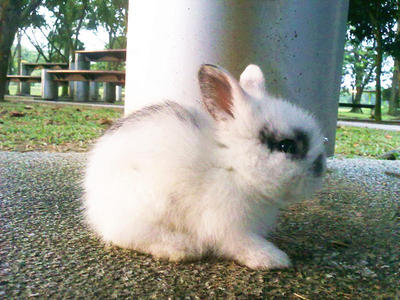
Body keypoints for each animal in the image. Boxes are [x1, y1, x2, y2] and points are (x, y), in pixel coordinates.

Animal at [83, 63, 326, 270]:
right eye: (286, 145)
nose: (320, 168)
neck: (232, 165)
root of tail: (94, 205)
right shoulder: (227, 224)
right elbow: (243, 244)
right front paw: (273, 259)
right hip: (149, 202)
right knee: (126, 235)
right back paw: (181, 247)